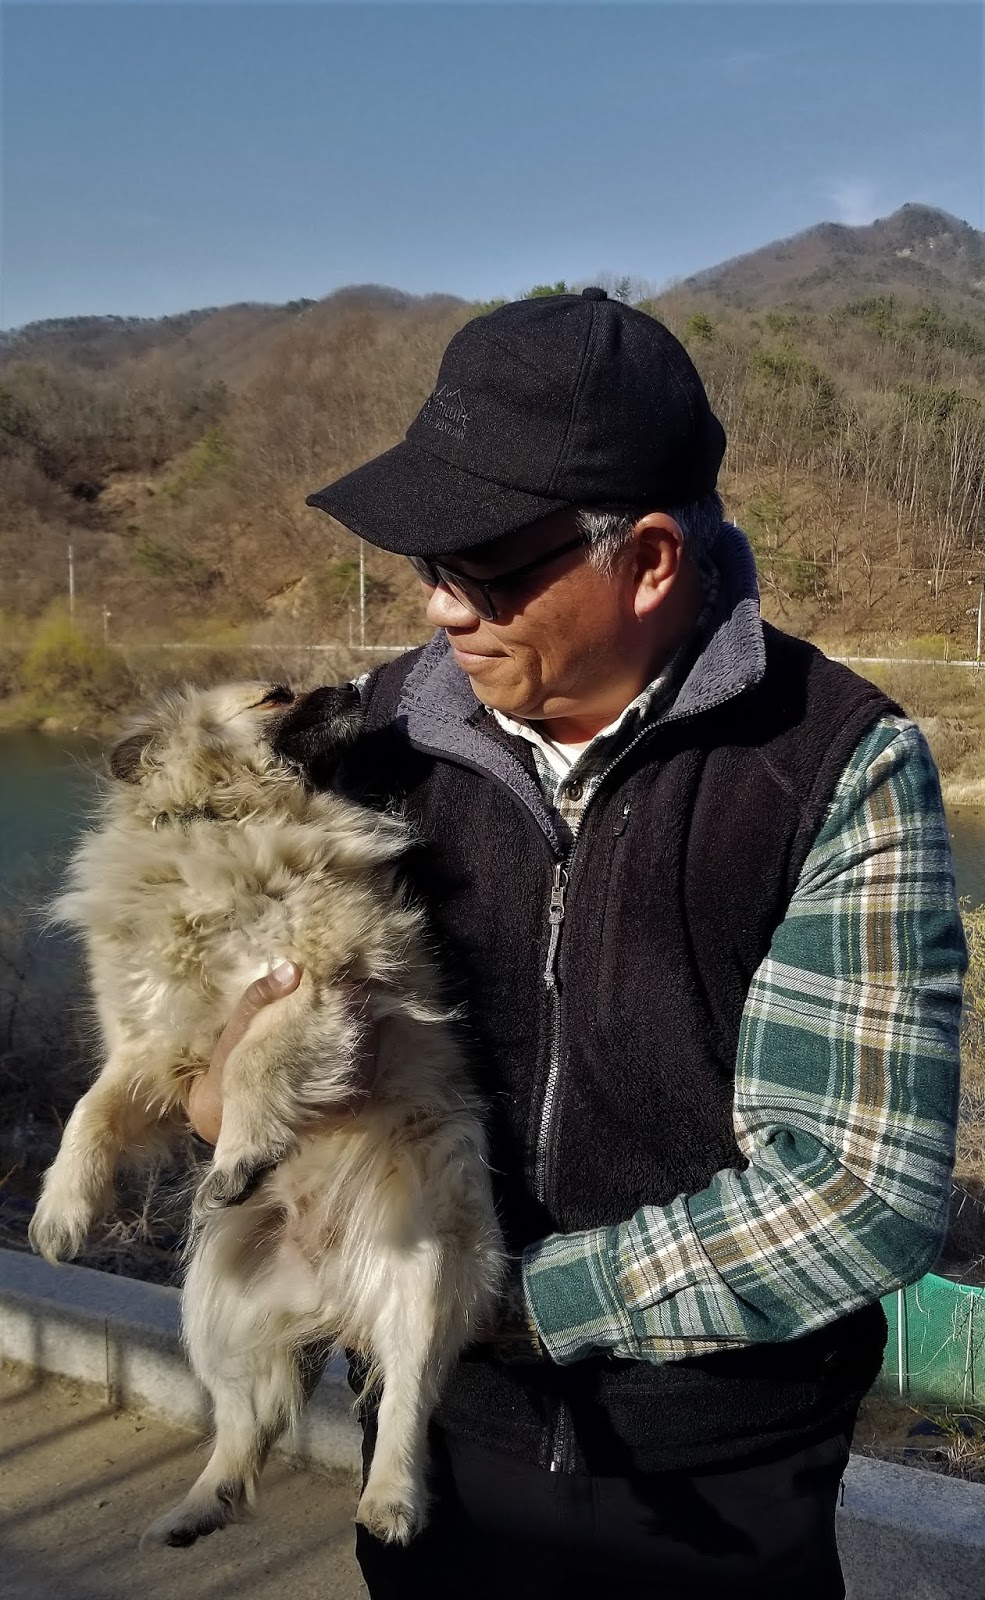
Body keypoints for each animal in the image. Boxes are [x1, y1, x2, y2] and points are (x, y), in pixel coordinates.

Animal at [29, 680, 505, 1547]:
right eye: (275, 697)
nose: (354, 684)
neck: (224, 822)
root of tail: (331, 1294)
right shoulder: (154, 1050)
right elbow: (91, 1111)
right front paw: (63, 1210)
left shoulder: (310, 988)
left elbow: (255, 1063)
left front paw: (243, 1149)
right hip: (214, 1302)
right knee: (244, 1423)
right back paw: (199, 1503)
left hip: (423, 1270)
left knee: (407, 1400)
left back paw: (390, 1499)